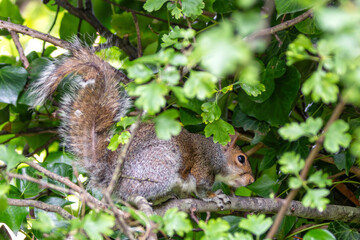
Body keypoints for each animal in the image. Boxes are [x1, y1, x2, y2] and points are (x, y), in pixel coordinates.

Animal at [28, 42, 253, 208]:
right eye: (241, 159)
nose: (251, 181)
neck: (215, 153)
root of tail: (112, 177)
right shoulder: (202, 169)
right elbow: (202, 190)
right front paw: (215, 196)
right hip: (160, 169)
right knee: (132, 194)